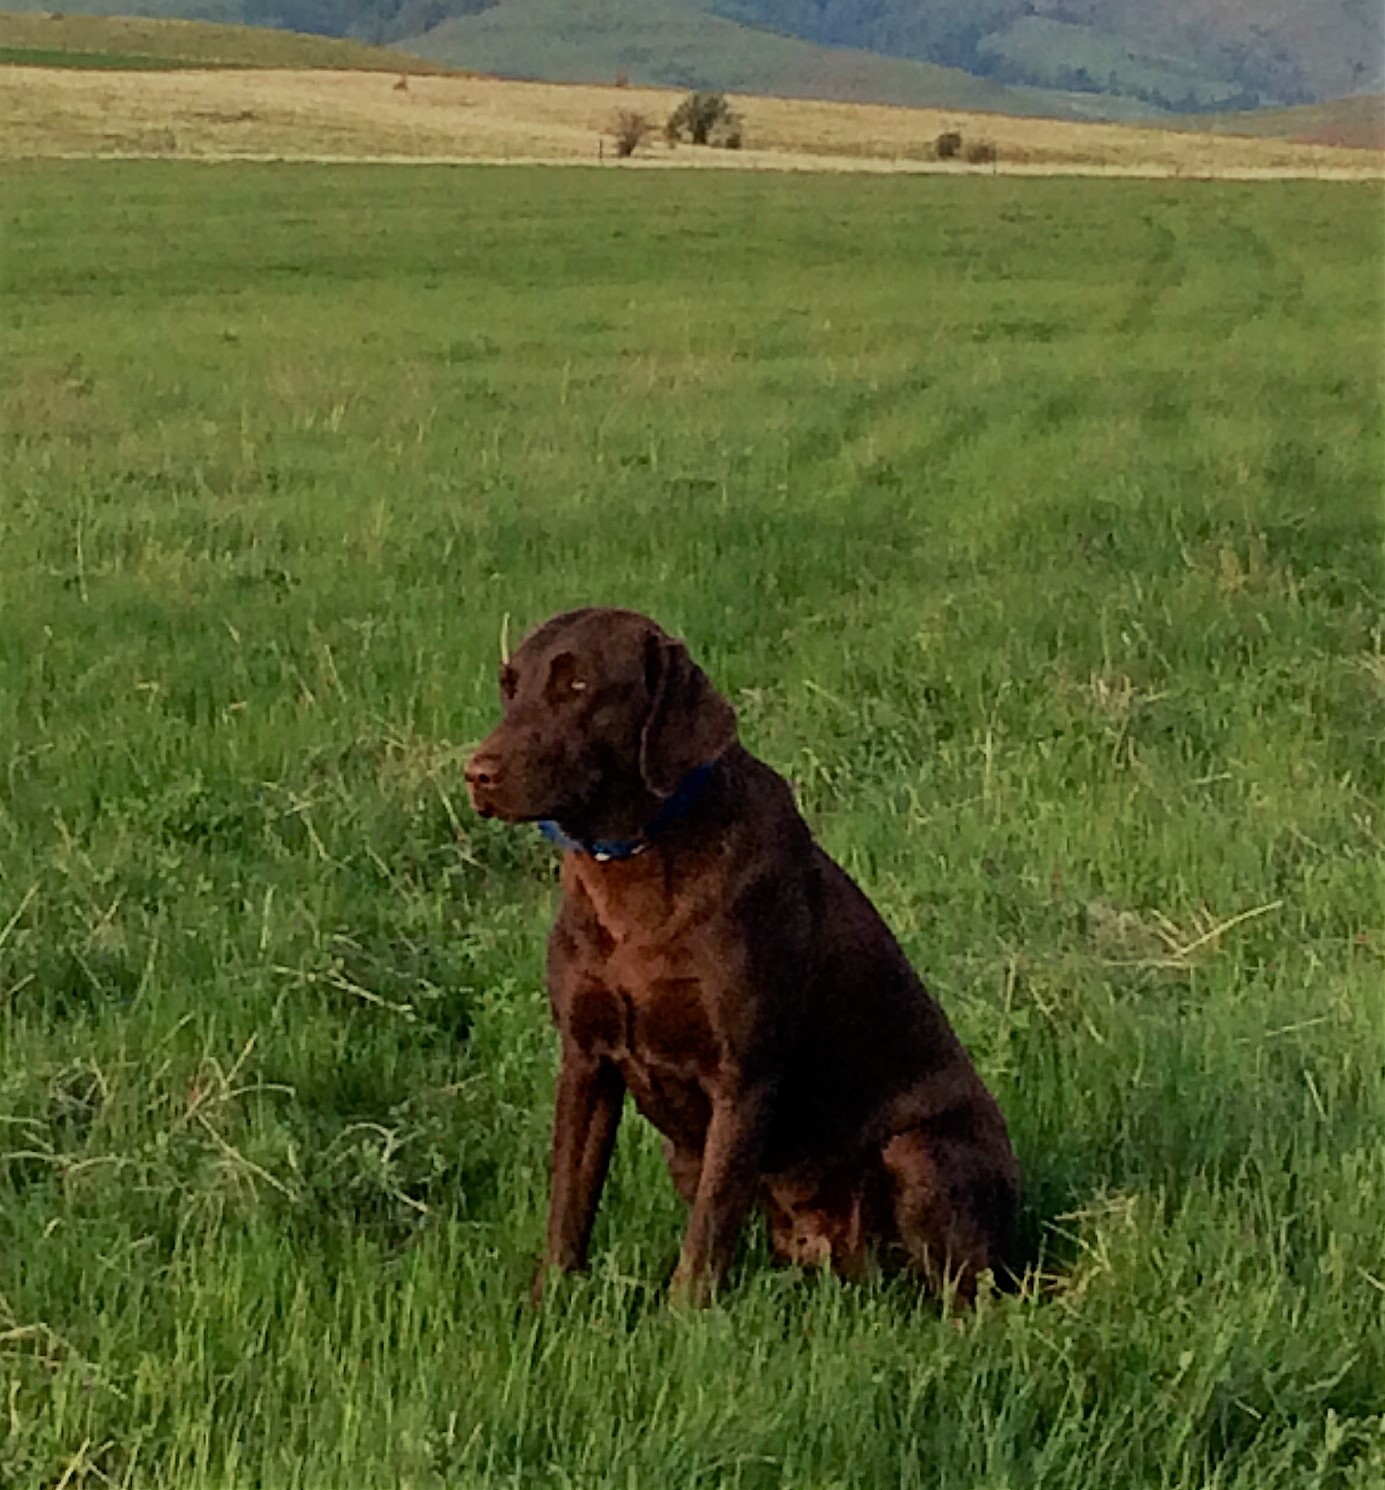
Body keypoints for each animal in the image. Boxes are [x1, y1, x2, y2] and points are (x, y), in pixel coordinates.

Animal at [464, 604, 1012, 1305]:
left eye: (578, 685)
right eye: (510, 687)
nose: (478, 773)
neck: (635, 875)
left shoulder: (742, 1078)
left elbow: (705, 1236)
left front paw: (682, 1319)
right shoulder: (586, 1061)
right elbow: (569, 1204)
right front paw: (549, 1303)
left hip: (921, 1153)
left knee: (968, 1291)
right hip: (685, 1156)